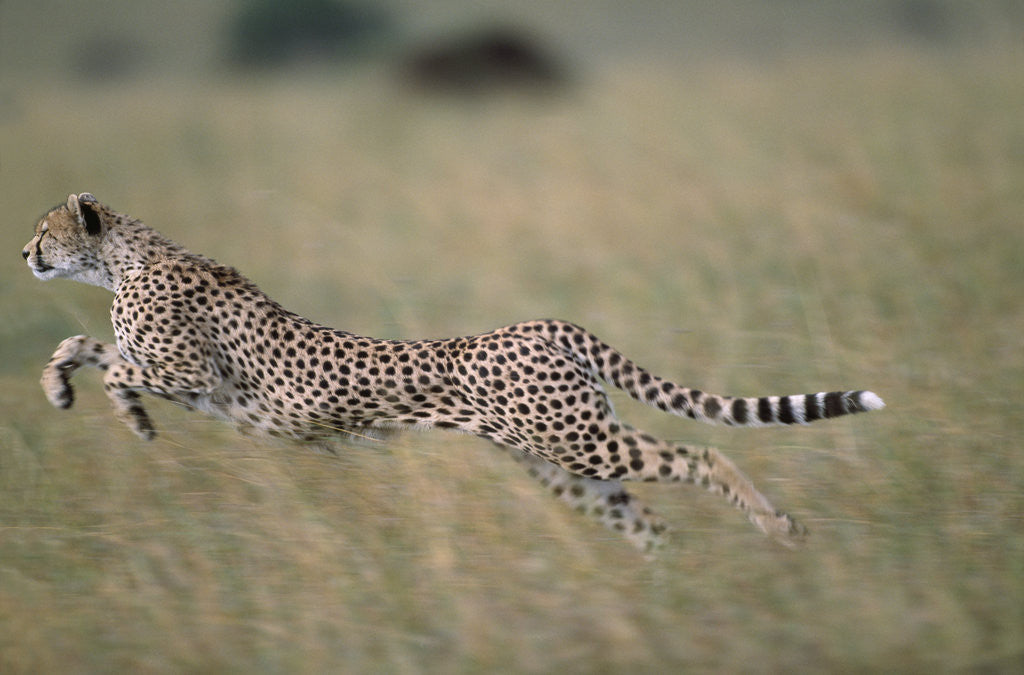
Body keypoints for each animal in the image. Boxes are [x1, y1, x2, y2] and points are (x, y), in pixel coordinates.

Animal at [23, 193, 885, 552]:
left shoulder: (190, 373)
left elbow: (115, 367)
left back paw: (775, 526)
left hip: (579, 441)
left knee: (701, 454)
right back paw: (673, 583)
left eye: (44, 229)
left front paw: (128, 415)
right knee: (648, 520)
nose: (25, 253)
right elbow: (83, 346)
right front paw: (59, 385)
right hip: (561, 463)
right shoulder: (175, 370)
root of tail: (539, 322)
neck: (125, 258)